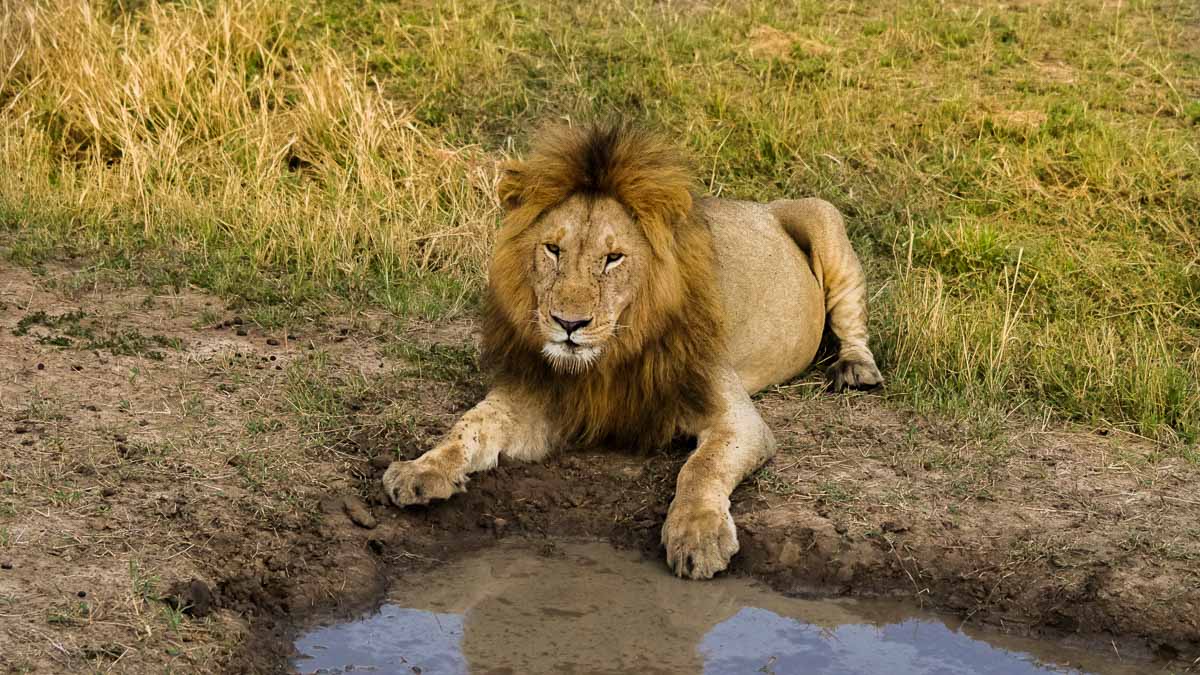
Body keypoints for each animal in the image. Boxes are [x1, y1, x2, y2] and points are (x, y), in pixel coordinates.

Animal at [384, 121, 883, 578]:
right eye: (553, 250)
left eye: (613, 258)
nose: (569, 324)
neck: (610, 356)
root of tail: (762, 204)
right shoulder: (540, 400)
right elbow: (469, 425)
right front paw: (419, 470)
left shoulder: (736, 417)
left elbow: (701, 467)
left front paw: (697, 535)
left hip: (822, 216)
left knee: (851, 318)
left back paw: (855, 370)